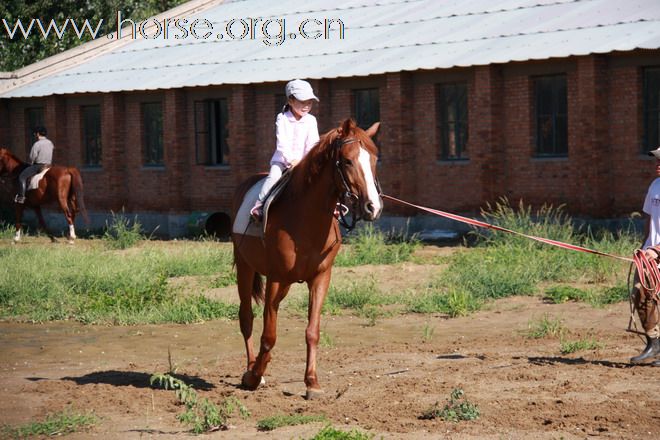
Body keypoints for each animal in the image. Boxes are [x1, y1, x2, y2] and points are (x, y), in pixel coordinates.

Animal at [233, 119, 382, 398]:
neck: (304, 217)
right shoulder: (276, 279)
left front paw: (312, 382)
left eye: (375, 159)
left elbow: (312, 331)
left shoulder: (321, 277)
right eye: (347, 161)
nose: (373, 207)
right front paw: (254, 375)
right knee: (246, 318)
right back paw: (251, 370)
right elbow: (269, 336)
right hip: (245, 268)